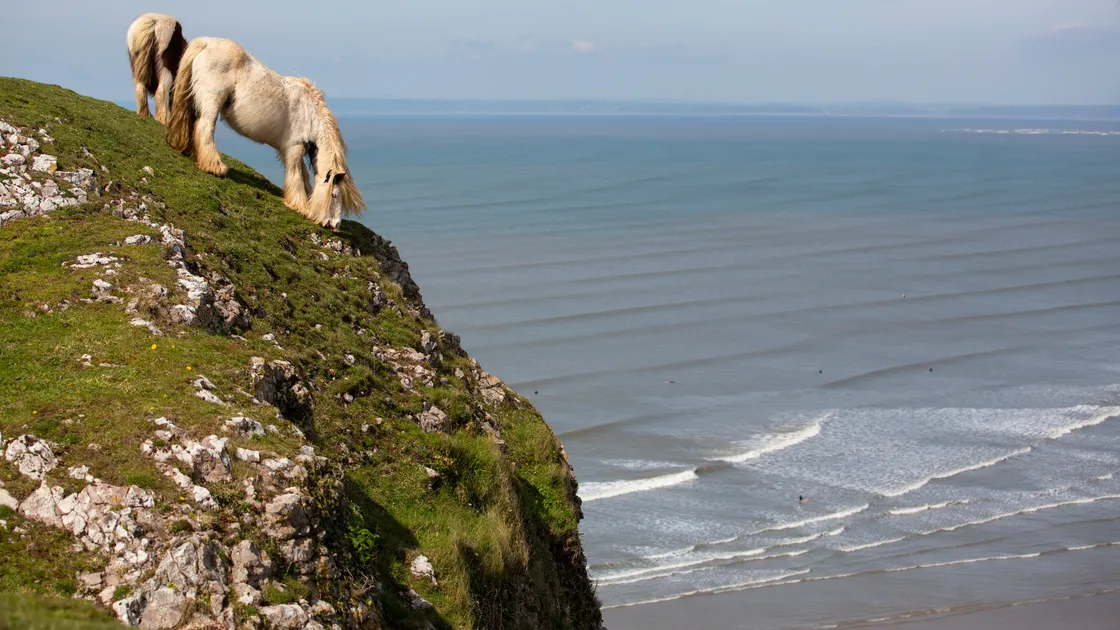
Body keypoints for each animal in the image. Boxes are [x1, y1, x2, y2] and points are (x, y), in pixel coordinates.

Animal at [165, 37, 365, 230]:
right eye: (334, 195)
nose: (335, 225)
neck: (311, 114)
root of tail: (206, 43)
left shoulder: (291, 150)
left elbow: (303, 176)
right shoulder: (294, 147)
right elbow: (295, 175)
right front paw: (300, 205)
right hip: (211, 103)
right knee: (205, 128)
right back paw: (215, 167)